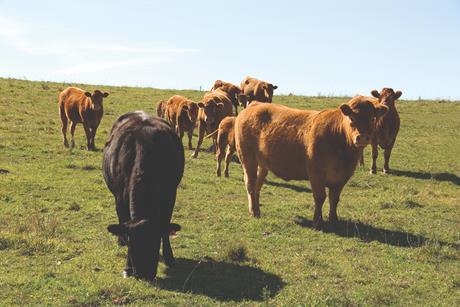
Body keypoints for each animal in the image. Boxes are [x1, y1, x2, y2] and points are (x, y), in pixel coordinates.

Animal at [103, 111, 185, 282]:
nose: (143, 274)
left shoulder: (170, 195)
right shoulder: (120, 198)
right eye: (133, 243)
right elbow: (124, 223)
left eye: (155, 243)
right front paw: (127, 267)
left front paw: (169, 256)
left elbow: (165, 226)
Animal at [234, 97, 388, 230]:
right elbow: (320, 197)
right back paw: (254, 211)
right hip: (247, 157)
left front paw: (334, 220)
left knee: (257, 185)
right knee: (250, 184)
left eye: (372, 118)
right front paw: (318, 222)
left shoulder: (342, 177)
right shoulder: (316, 172)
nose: (362, 138)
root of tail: (255, 104)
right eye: (352, 117)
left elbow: (334, 199)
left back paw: (256, 209)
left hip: (262, 163)